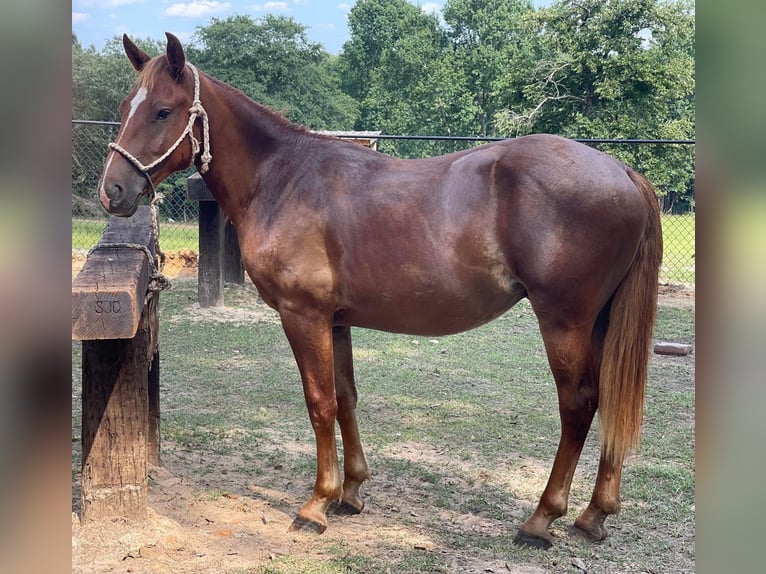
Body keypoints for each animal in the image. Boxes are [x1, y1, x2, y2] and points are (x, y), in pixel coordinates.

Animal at [100, 35, 664, 548]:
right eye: (125, 108)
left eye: (162, 111)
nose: (112, 191)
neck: (282, 178)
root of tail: (622, 171)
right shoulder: (336, 321)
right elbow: (346, 397)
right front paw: (350, 492)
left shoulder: (302, 316)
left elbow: (319, 402)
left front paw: (316, 504)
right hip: (599, 322)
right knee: (609, 399)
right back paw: (594, 515)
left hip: (564, 322)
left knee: (579, 405)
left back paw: (541, 519)